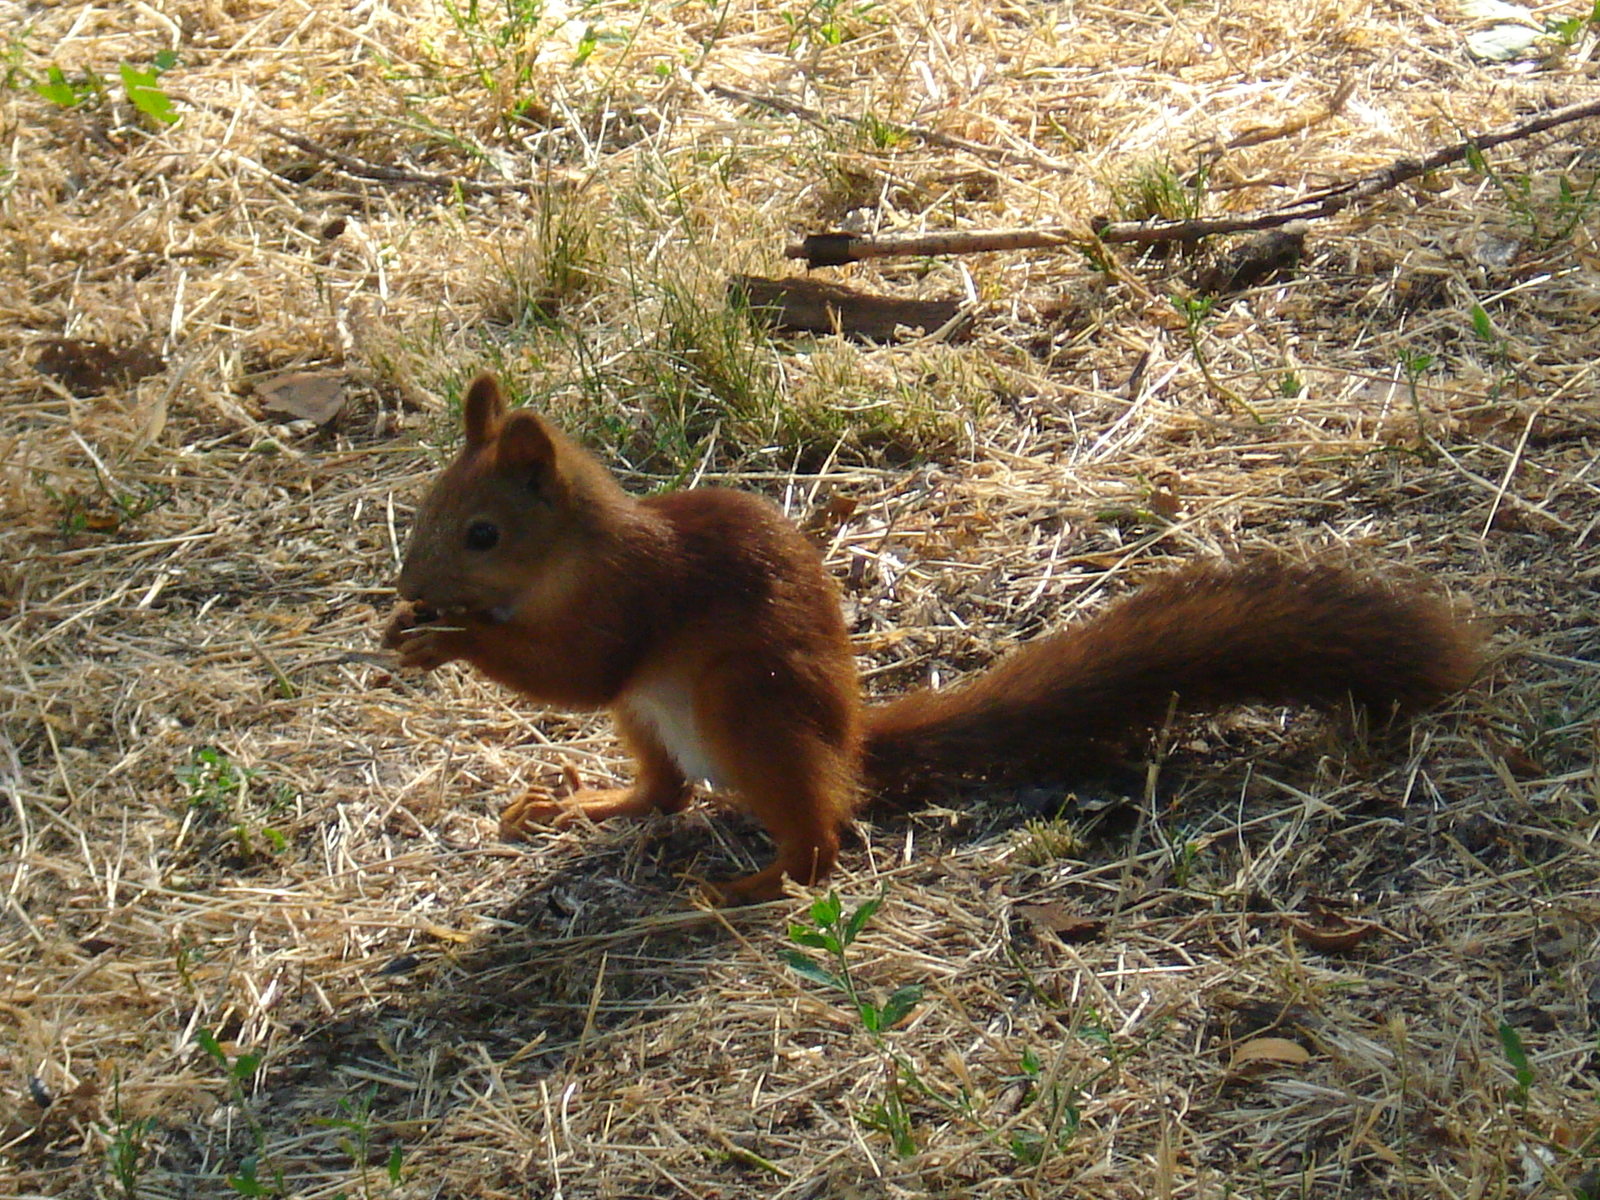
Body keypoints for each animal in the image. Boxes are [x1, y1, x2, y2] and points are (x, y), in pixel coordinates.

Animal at [380, 374, 1478, 902]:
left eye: (483, 534)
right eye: (428, 507)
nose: (409, 588)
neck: (575, 554)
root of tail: (850, 741)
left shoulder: (631, 602)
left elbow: (577, 668)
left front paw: (447, 640)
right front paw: (411, 626)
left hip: (748, 707)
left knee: (818, 841)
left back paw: (750, 884)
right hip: (654, 722)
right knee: (662, 792)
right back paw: (590, 803)